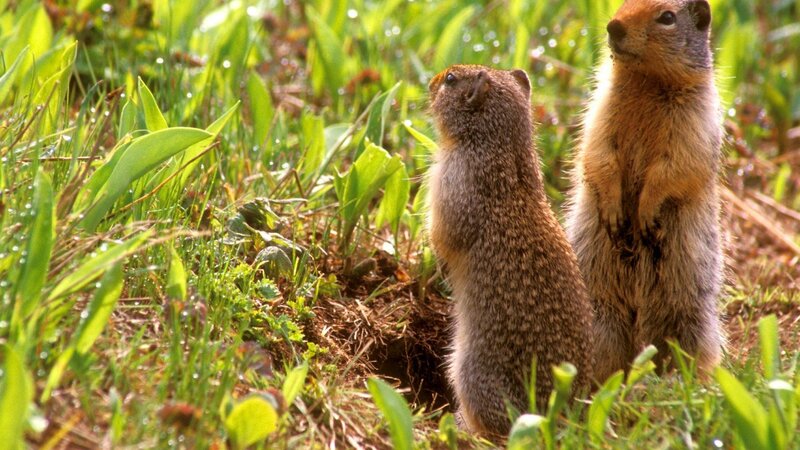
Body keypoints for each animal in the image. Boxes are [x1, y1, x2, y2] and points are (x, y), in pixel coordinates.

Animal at [427, 65, 594, 437]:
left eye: (450, 80)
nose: (430, 82)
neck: (499, 143)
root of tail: (559, 418)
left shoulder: (452, 187)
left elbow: (444, 236)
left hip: (470, 372)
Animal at [565, 0, 725, 382]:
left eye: (667, 17)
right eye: (623, 3)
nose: (613, 27)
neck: (646, 84)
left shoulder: (695, 122)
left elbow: (675, 167)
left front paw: (647, 213)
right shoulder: (601, 109)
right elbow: (598, 152)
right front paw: (613, 211)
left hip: (691, 315)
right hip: (599, 309)